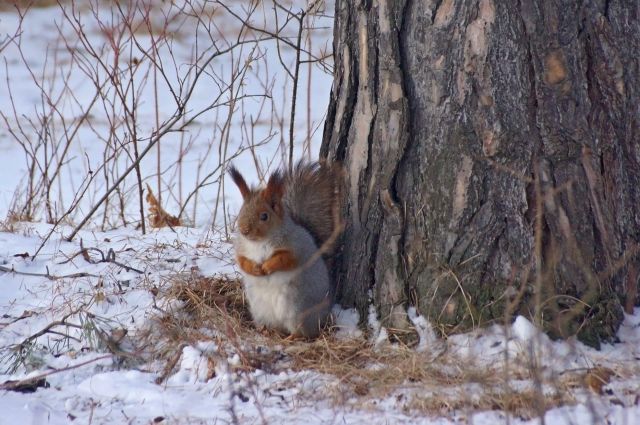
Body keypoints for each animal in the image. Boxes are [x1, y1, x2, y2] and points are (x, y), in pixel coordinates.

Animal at [228, 161, 342, 338]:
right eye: (241, 211)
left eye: (264, 216)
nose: (244, 230)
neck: (259, 242)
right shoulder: (241, 248)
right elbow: (242, 262)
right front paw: (254, 269)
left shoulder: (297, 248)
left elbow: (284, 259)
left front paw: (267, 266)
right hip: (260, 311)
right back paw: (265, 330)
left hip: (297, 310)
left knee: (302, 332)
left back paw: (290, 338)